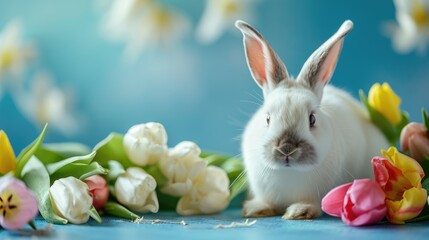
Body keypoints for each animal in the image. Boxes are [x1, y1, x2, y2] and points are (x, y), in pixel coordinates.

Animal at [236, 20, 390, 219]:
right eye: (267, 118)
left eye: (312, 119)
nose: (286, 149)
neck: (289, 174)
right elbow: (266, 201)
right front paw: (256, 209)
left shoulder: (317, 194)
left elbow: (311, 203)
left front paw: (299, 212)